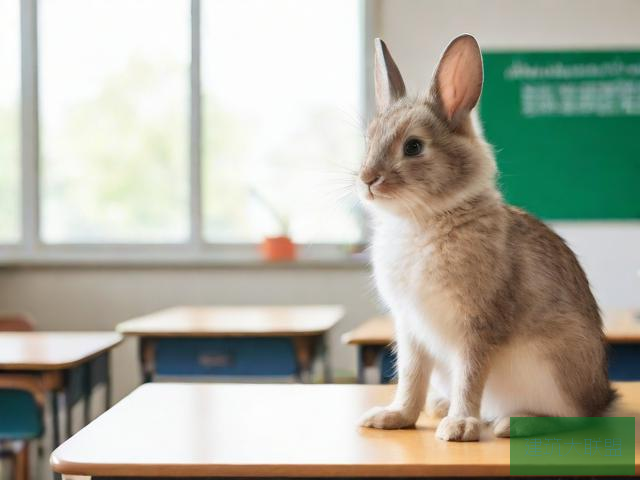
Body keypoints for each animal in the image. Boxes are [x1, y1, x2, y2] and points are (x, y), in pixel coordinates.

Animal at [358, 35, 612, 442]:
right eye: (367, 141)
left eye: (413, 147)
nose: (366, 179)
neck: (426, 218)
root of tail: (603, 398)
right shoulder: (411, 331)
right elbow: (410, 379)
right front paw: (393, 418)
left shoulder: (478, 326)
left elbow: (470, 377)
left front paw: (459, 427)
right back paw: (439, 407)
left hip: (553, 370)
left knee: (573, 417)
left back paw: (511, 423)